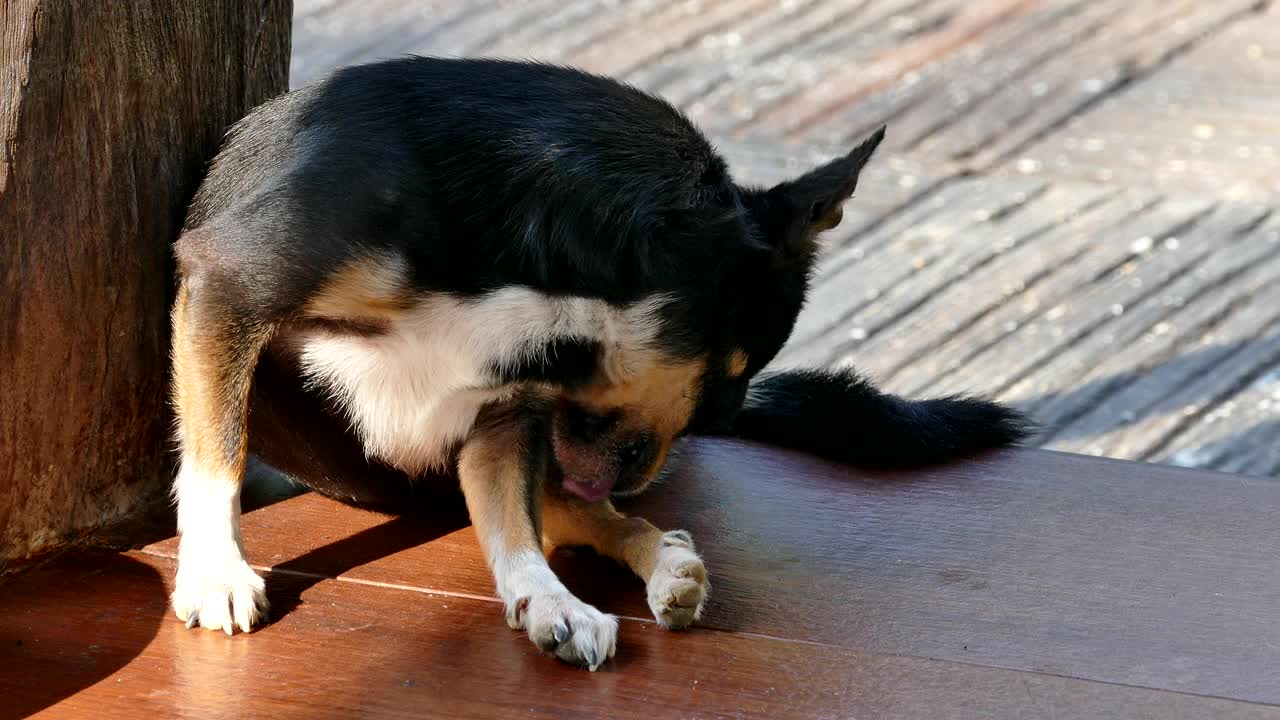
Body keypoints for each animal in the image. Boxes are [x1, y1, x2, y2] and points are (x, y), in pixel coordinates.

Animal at [170, 56, 1029, 666]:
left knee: (572, 511)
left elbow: (513, 528)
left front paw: (549, 602)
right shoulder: (227, 288)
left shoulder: (503, 415)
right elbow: (218, 451)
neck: (546, 273)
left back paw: (664, 562)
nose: (719, 424)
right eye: (728, 377)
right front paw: (215, 567)